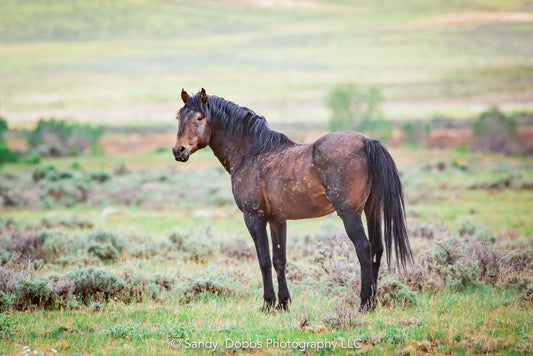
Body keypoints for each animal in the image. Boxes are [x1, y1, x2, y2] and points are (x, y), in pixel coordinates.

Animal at [172, 88, 410, 312]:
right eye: (179, 117)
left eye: (199, 117)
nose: (178, 150)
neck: (252, 154)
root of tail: (367, 141)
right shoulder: (278, 220)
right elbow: (279, 260)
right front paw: (283, 304)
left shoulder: (254, 217)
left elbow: (264, 260)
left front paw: (268, 304)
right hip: (372, 210)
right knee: (377, 249)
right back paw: (373, 302)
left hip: (350, 213)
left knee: (364, 248)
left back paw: (363, 303)